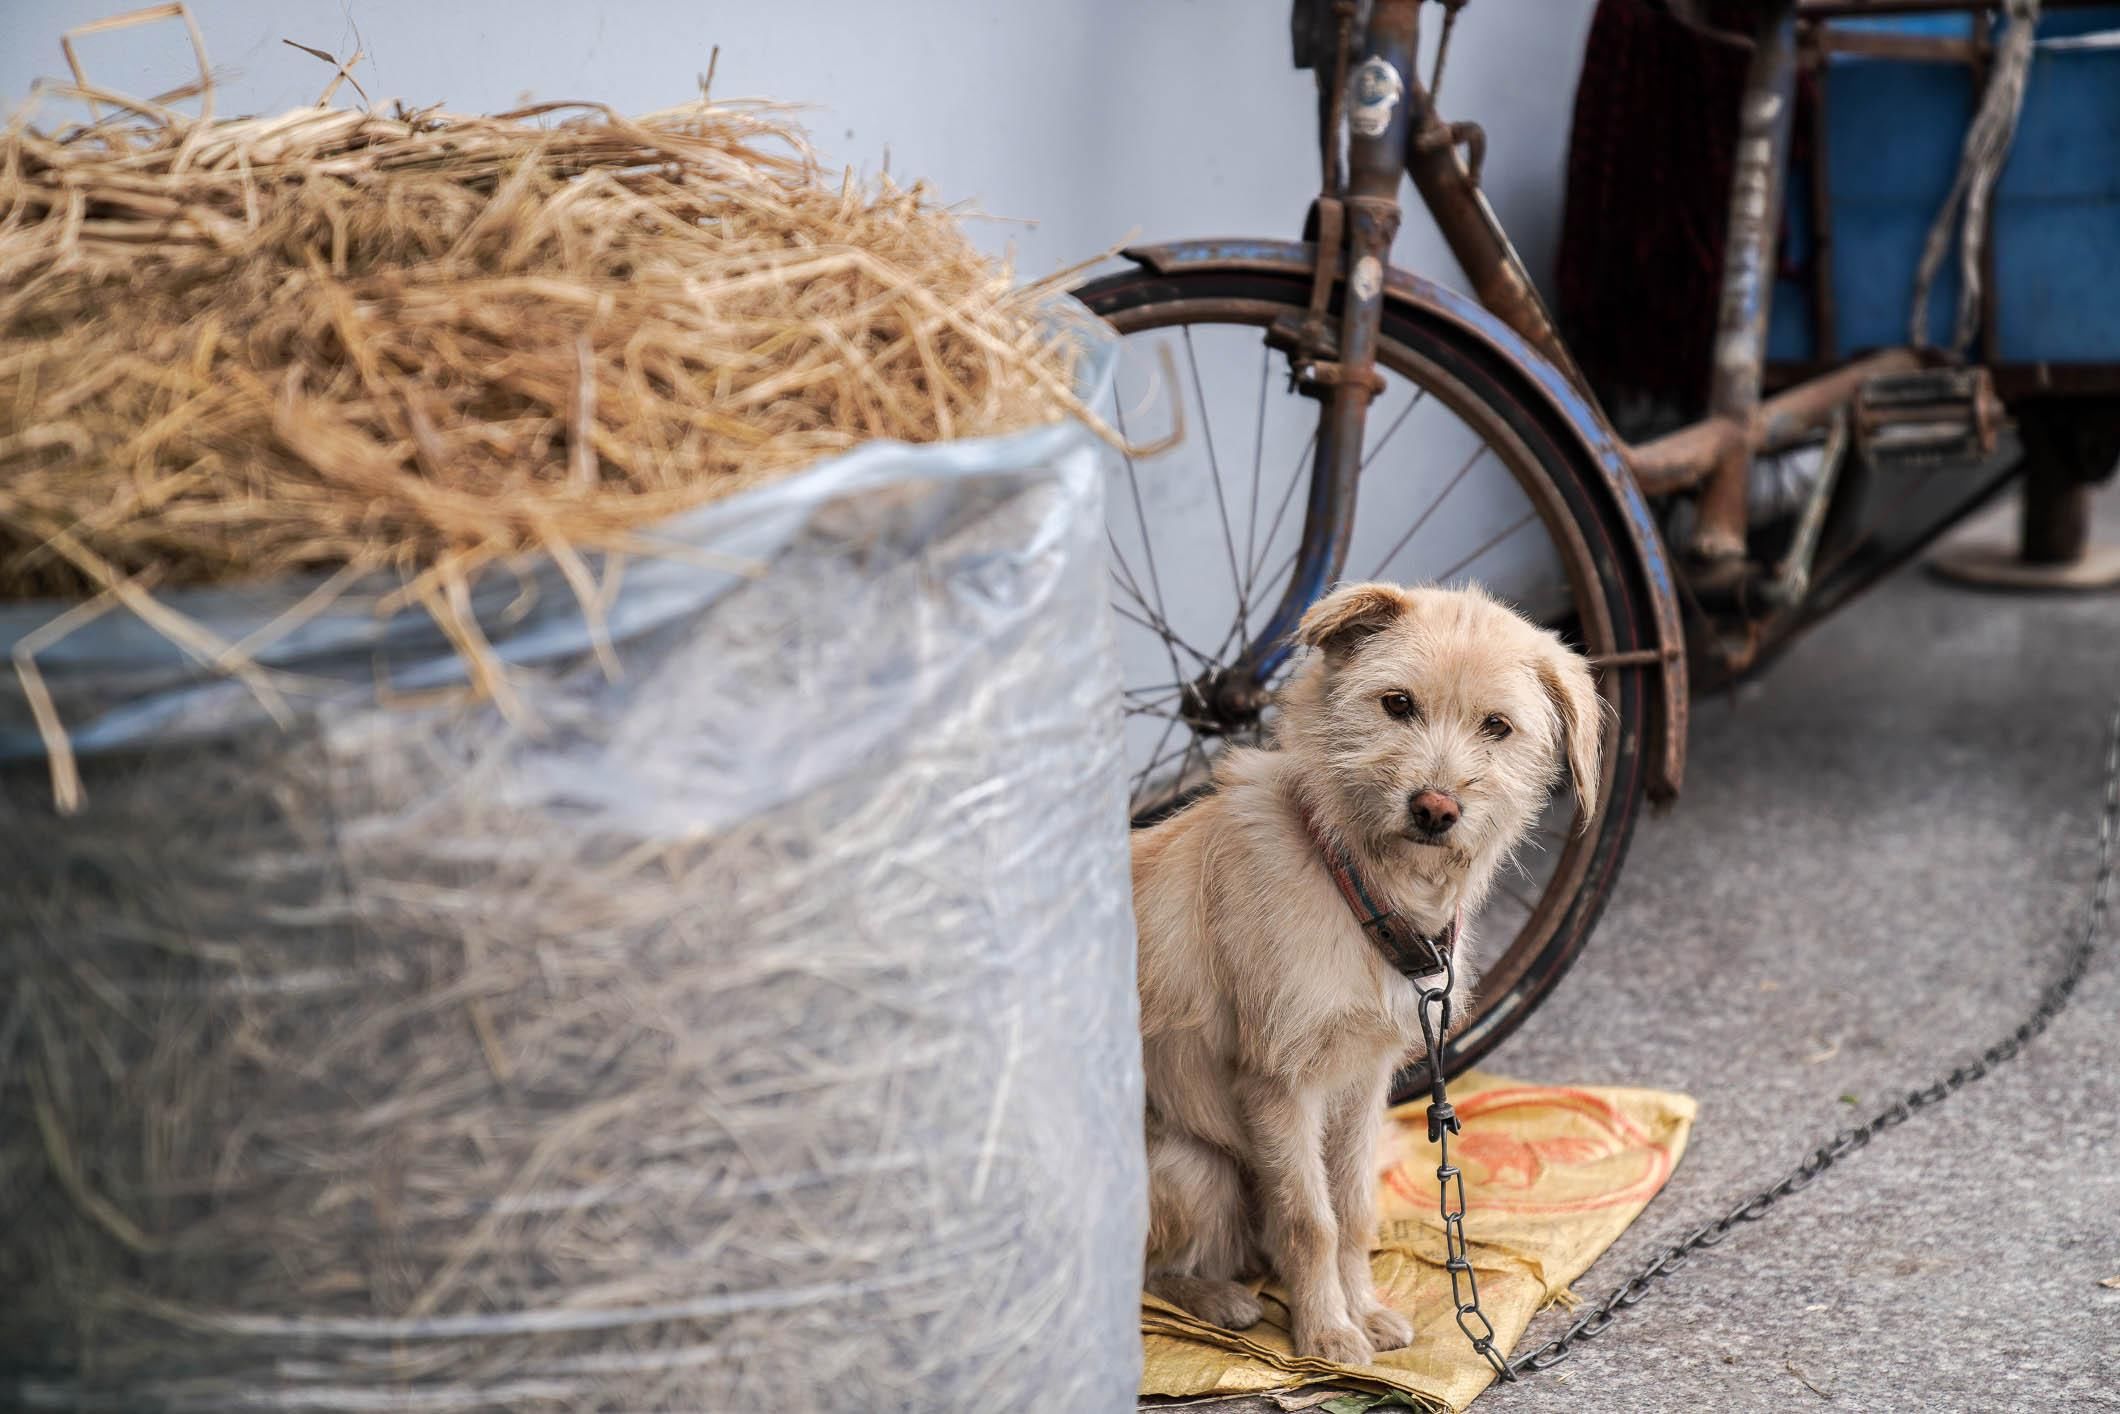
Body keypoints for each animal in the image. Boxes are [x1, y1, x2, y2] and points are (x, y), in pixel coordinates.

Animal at [1136, 580, 1594, 1365]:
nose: (1436, 808)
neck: (1354, 885)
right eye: (1397, 704)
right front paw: (1325, 1332)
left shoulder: (1361, 1084)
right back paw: (1219, 1298)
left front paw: (1364, 1312)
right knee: (1145, 1275)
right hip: (1196, 1169)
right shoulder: (1279, 1086)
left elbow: (1351, 1209)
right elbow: (1309, 1219)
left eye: (1497, 727)